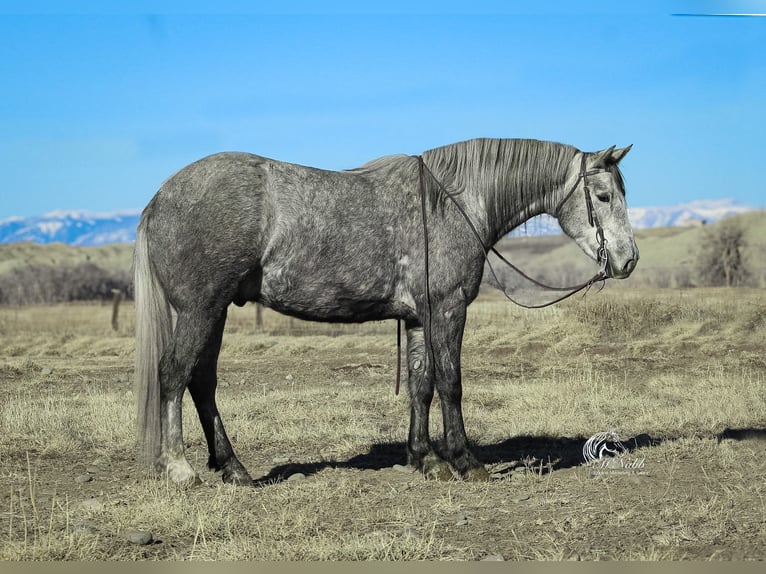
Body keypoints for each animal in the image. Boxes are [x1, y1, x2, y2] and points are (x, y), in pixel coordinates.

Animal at [133, 138, 638, 485]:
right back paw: (179, 468)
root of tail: (158, 199)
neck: (452, 203)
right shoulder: (447, 310)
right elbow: (451, 384)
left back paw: (233, 468)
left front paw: (425, 458)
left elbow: (421, 385)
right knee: (174, 375)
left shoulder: (417, 318)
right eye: (604, 196)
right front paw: (464, 461)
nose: (628, 259)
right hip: (200, 310)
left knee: (202, 382)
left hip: (215, 312)